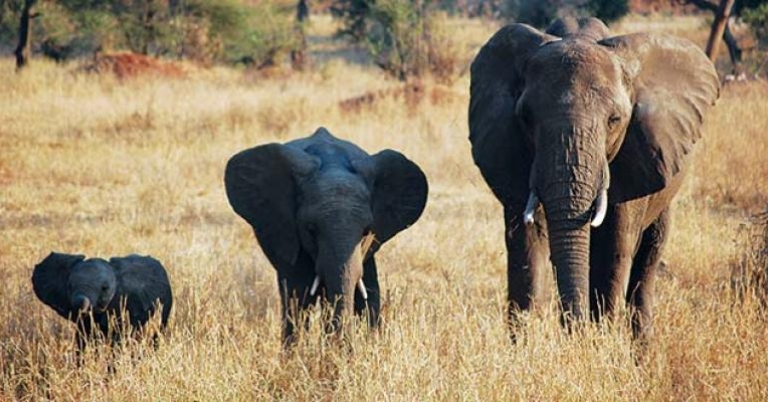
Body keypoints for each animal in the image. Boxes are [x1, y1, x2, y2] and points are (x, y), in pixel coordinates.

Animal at [468, 17, 719, 339]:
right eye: (525, 118)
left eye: (614, 120)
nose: (573, 330)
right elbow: (528, 243)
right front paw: (526, 344)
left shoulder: (634, 158)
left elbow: (613, 249)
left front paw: (600, 341)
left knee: (649, 257)